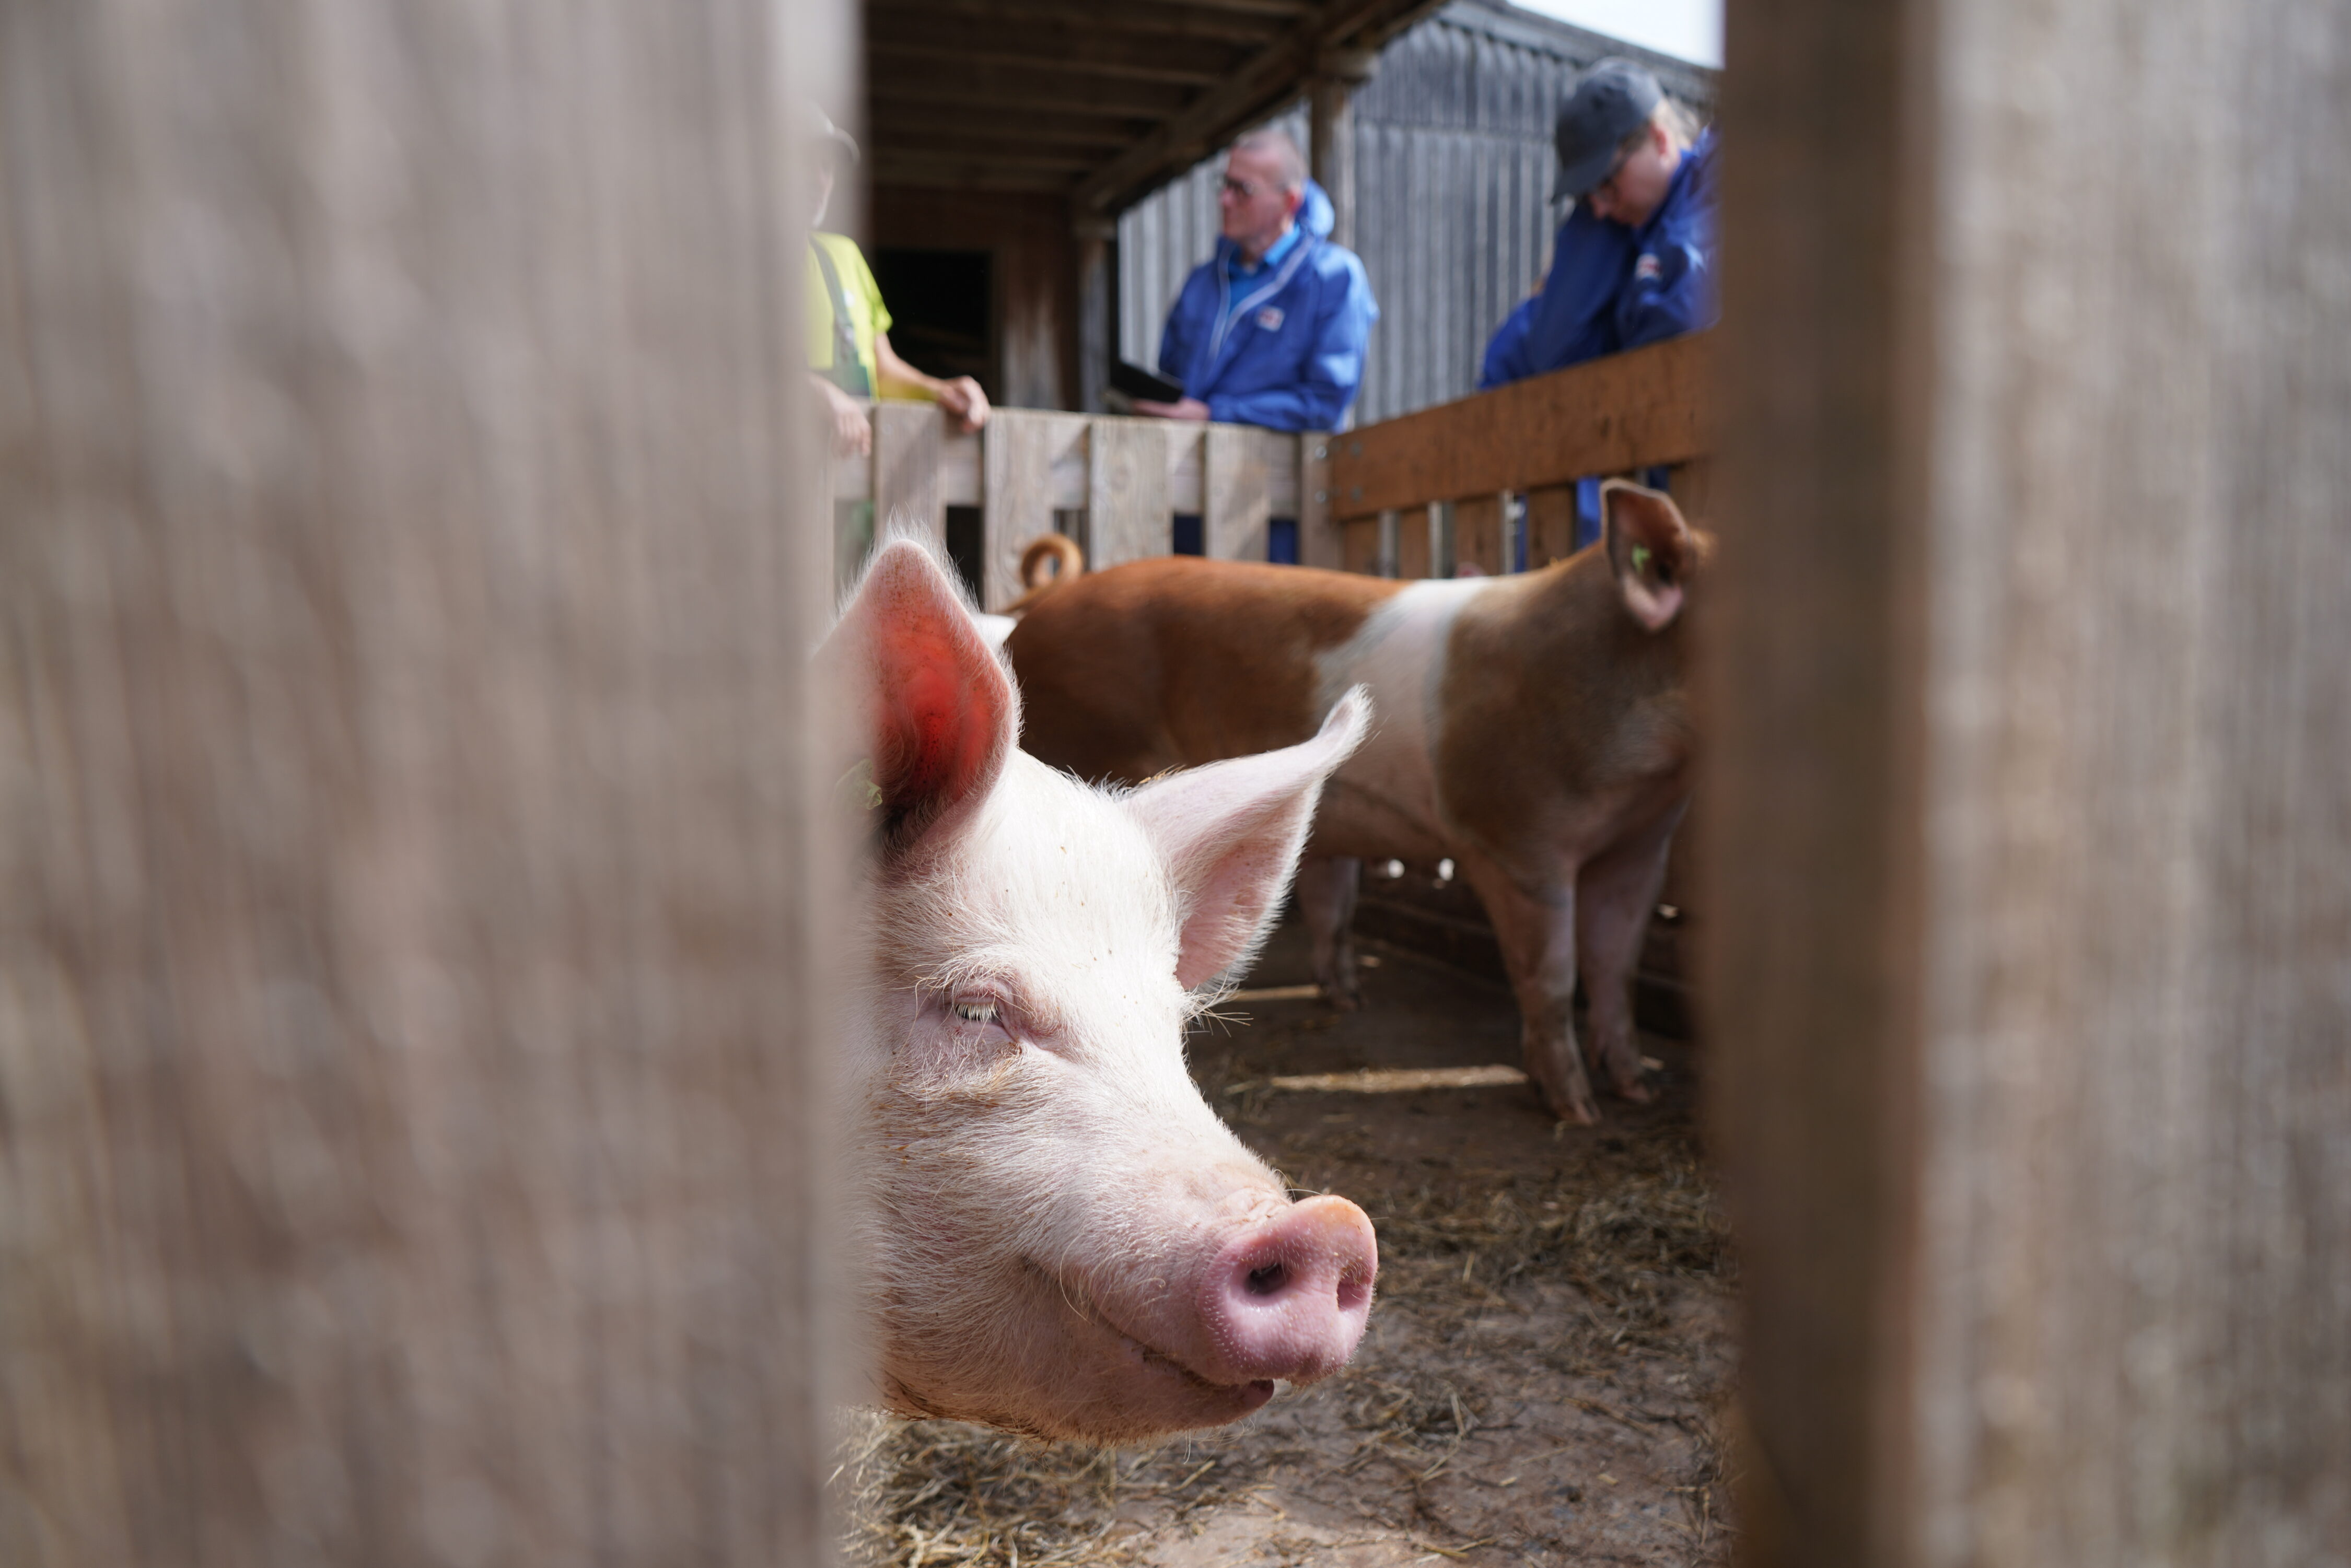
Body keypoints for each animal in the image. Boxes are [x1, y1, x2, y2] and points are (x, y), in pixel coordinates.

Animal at [1004, 480, 1706, 1127]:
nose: (1600, 1106)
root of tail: (1044, 605)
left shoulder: (1641, 843)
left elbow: (1617, 966)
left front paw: (1636, 1089)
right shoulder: (1511, 837)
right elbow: (1554, 976)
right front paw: (1578, 1113)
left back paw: (1348, 1001)